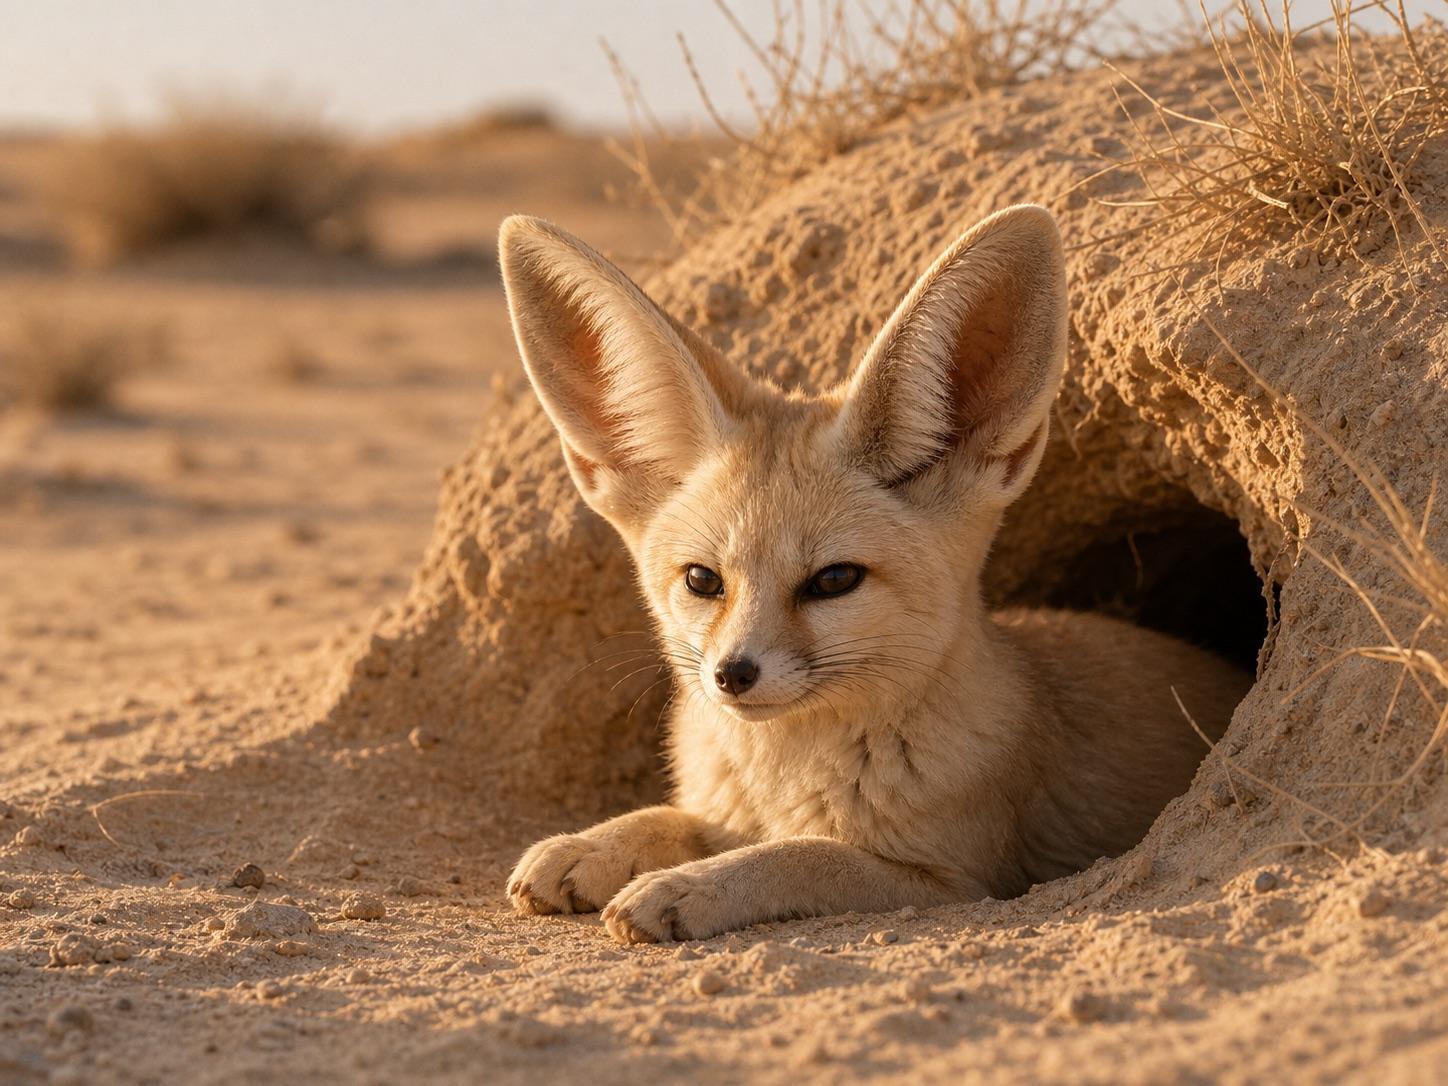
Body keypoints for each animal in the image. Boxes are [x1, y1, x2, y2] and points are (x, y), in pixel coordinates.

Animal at [498, 204, 1251, 944]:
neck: (783, 776)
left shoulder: (957, 882)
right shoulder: (724, 808)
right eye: (703, 580)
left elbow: (799, 855)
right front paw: (593, 844)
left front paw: (691, 885)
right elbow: (676, 820)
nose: (733, 675)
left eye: (834, 580)